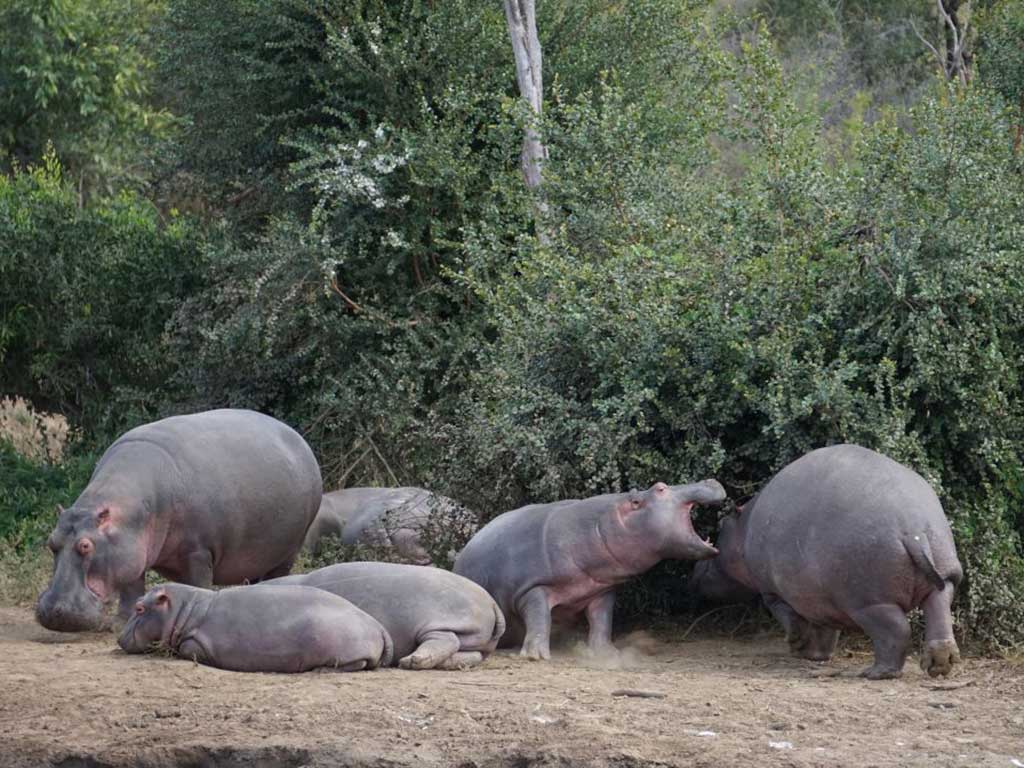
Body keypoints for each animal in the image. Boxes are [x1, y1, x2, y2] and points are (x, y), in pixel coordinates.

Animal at [37, 409, 322, 632]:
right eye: (51, 542)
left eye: (86, 546)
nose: (51, 612)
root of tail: (299, 439)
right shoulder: (131, 552)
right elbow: (131, 587)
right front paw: (120, 623)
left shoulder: (199, 552)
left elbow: (198, 583)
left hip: (288, 551)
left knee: (277, 573)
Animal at [118, 583, 391, 672]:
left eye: (139, 608)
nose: (119, 639)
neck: (185, 608)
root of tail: (378, 625)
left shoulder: (198, 641)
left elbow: (188, 648)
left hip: (345, 650)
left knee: (356, 664)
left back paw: (321, 670)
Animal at [266, 561, 505, 669]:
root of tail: (492, 602)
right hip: (476, 642)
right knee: (468, 654)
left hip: (443, 621)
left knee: (445, 640)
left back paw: (410, 661)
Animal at [454, 480, 726, 660]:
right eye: (660, 488)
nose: (710, 480)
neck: (600, 525)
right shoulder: (533, 588)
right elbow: (540, 618)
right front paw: (536, 656)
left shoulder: (601, 589)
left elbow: (602, 622)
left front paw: (608, 654)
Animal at [691, 444, 963, 680]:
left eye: (721, 525)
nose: (695, 569)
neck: (743, 528)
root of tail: (913, 532)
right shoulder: (820, 597)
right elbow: (826, 628)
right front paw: (816, 656)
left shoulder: (773, 593)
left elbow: (790, 618)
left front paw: (796, 644)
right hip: (942, 575)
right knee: (940, 612)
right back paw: (940, 665)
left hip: (869, 601)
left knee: (897, 630)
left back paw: (875, 673)